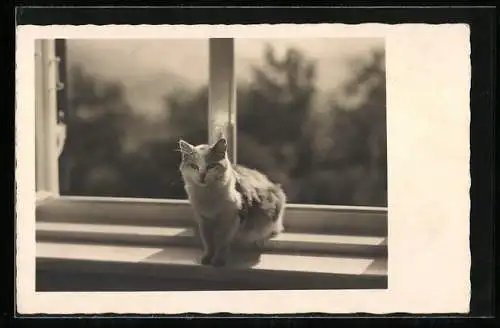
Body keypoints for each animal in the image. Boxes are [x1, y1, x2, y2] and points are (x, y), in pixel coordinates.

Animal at [177, 137, 286, 268]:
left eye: (211, 166)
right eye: (194, 166)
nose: (202, 176)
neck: (208, 195)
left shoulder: (231, 219)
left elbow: (222, 243)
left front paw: (218, 260)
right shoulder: (204, 220)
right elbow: (208, 243)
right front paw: (207, 257)